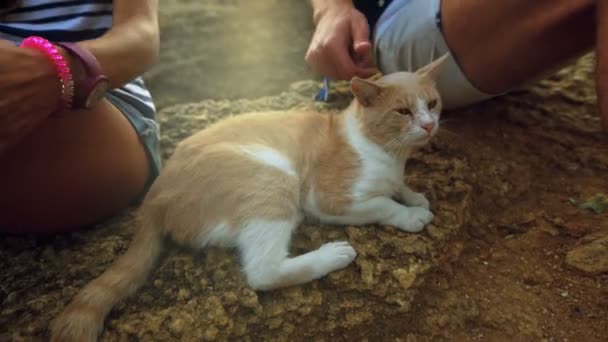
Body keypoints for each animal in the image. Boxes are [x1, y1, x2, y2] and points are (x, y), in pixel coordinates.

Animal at [51, 54, 446, 340]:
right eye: (403, 112)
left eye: (433, 103)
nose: (429, 125)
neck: (386, 152)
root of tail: (153, 199)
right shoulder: (327, 198)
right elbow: (382, 203)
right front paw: (409, 214)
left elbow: (398, 188)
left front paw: (414, 196)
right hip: (274, 180)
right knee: (261, 273)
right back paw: (332, 255)